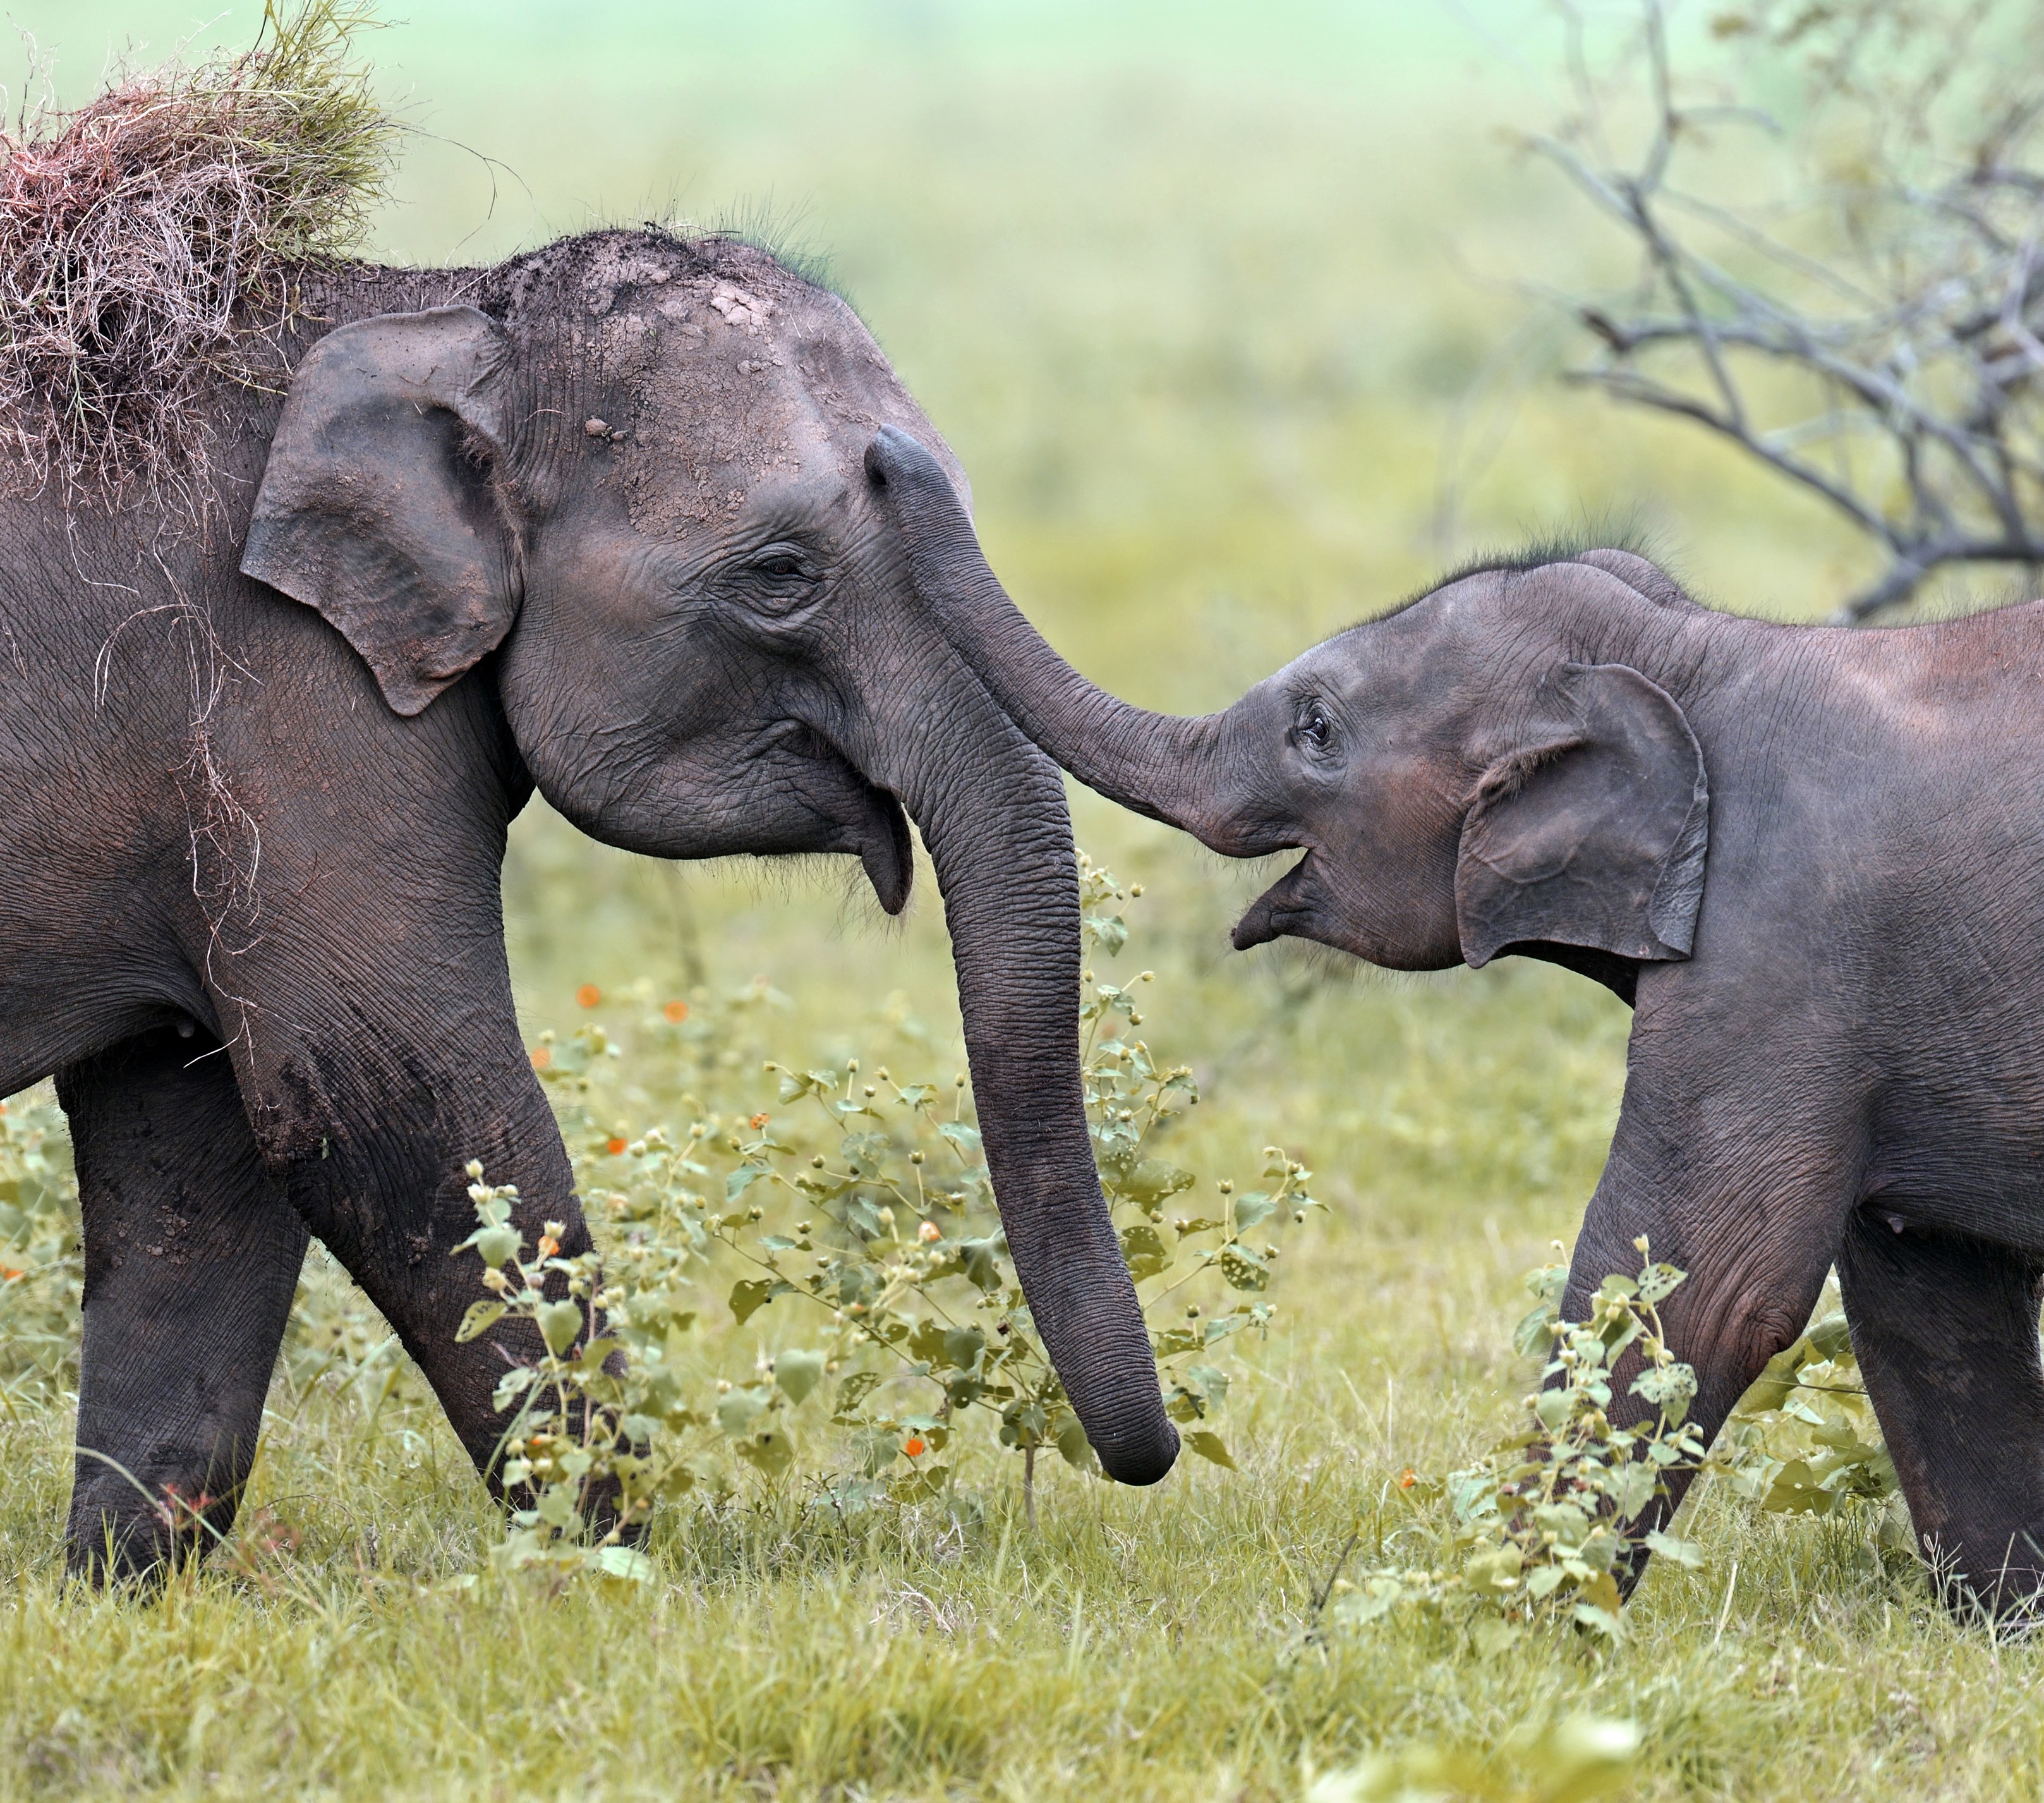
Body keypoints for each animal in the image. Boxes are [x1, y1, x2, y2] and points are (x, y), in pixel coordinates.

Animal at [12, 230, 1178, 1580]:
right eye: (782, 574)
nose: (1148, 1462)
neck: (444, 311)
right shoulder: (284, 706)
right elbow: (379, 1102)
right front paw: (613, 1569)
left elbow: (195, 1142)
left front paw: (118, 1591)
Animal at [869, 421, 2044, 1617]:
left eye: (1317, 730)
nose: (885, 453)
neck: (1689, 654)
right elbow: (1927, 1304)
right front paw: (2001, 1625)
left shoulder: (1776, 954)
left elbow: (1706, 1284)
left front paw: (1506, 1617)